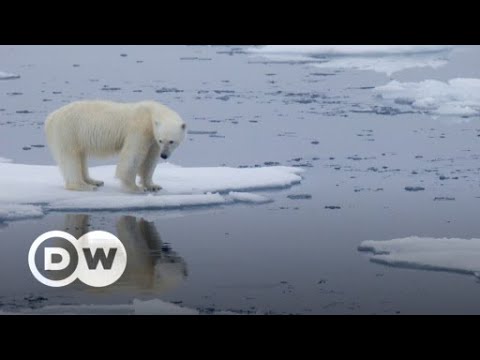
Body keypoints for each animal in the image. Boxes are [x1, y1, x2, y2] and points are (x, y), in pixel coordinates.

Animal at [45, 100, 187, 193]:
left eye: (171, 141)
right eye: (162, 140)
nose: (164, 155)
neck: (150, 113)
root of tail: (51, 117)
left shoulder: (152, 139)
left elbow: (150, 160)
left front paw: (153, 185)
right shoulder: (139, 130)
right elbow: (132, 156)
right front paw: (135, 188)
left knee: (81, 156)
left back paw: (93, 181)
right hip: (68, 131)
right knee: (70, 158)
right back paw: (83, 186)